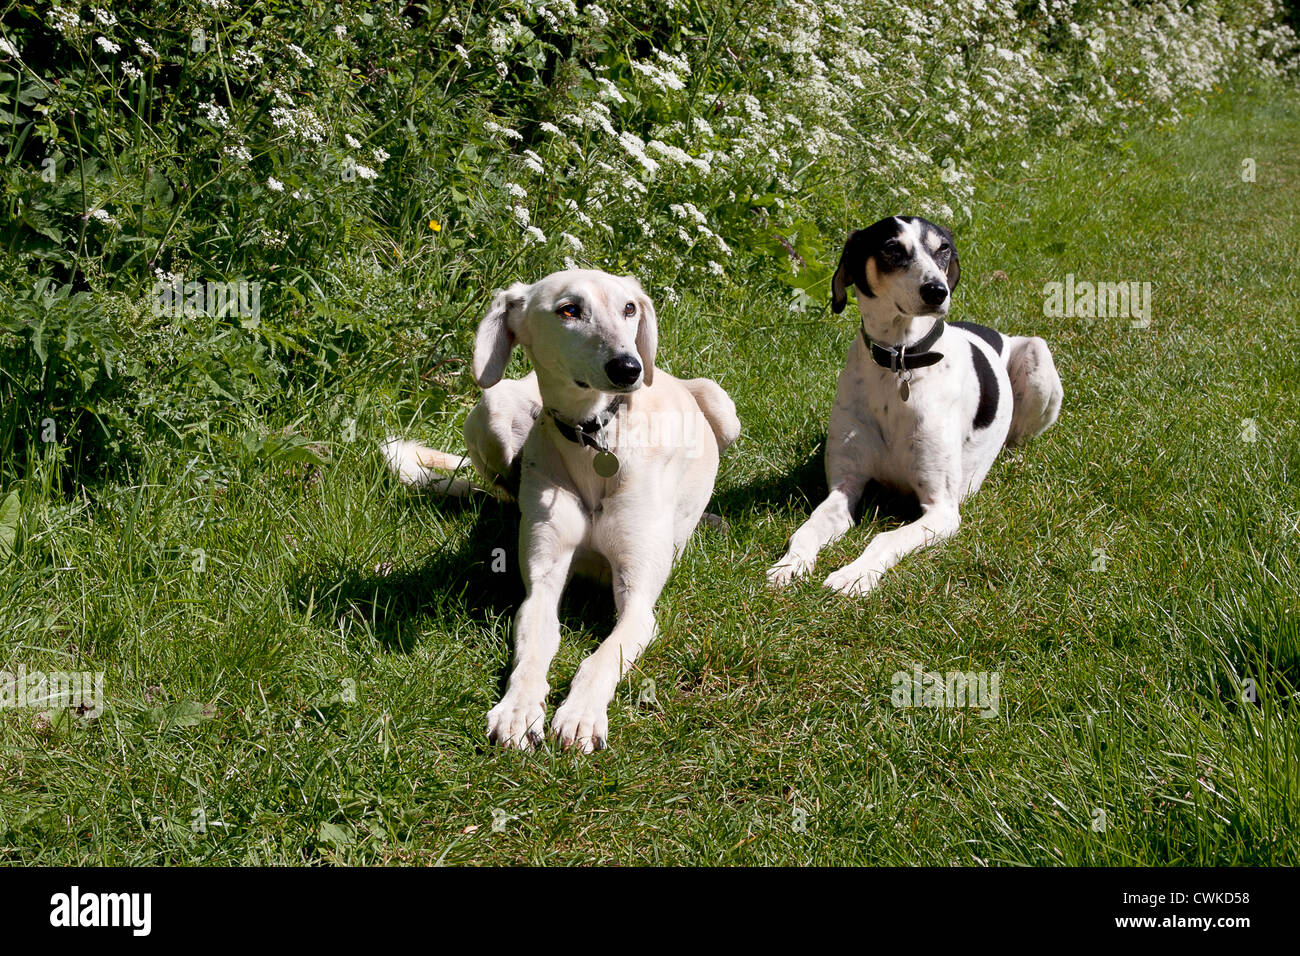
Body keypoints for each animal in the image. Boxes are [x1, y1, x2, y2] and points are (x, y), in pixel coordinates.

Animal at [379, 265, 738, 749]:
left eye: (629, 308)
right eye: (569, 309)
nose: (628, 368)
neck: (594, 439)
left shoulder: (639, 600)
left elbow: (603, 656)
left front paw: (582, 714)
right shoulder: (543, 584)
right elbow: (532, 650)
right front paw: (518, 709)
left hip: (722, 405)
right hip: (492, 407)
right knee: (502, 490)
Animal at [764, 213, 1060, 595]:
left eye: (943, 248)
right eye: (892, 249)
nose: (937, 291)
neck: (900, 360)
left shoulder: (941, 509)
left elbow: (884, 539)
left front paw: (854, 574)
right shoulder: (845, 487)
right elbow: (808, 527)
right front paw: (790, 565)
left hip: (1038, 355)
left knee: (1019, 435)